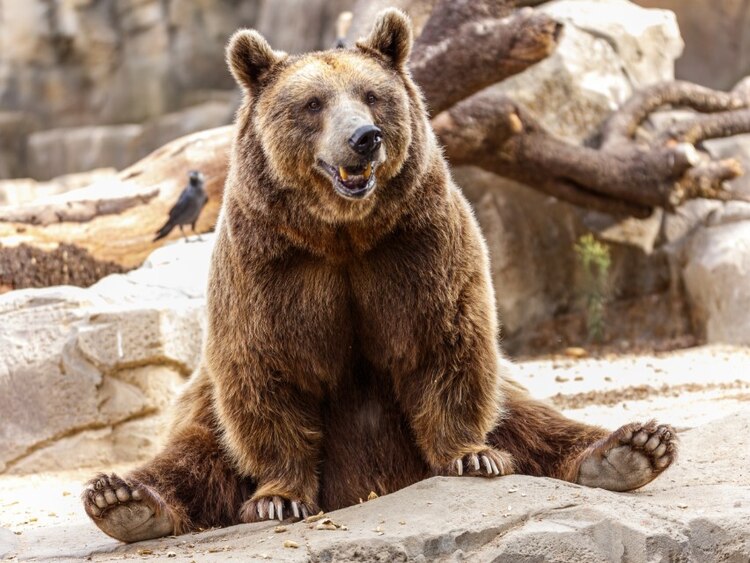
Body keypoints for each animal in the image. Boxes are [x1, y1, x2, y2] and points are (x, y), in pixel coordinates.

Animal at [81, 9, 677, 543]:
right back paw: (125, 501)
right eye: (313, 103)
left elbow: (445, 339)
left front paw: (472, 456)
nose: (364, 138)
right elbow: (267, 366)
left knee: (532, 418)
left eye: (371, 95)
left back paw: (633, 447)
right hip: (203, 408)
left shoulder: (416, 246)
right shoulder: (269, 265)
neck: (343, 234)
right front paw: (279, 497)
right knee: (192, 455)